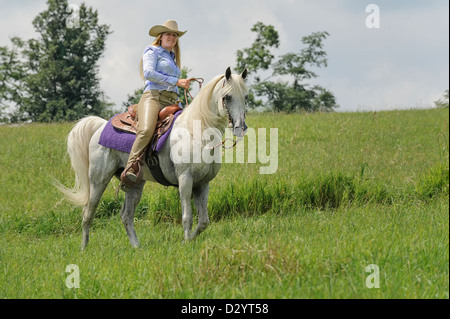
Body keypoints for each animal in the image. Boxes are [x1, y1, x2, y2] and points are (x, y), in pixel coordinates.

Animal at [56, 66, 250, 249]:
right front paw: (186, 242)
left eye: (245, 97)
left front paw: (189, 240)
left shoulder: (203, 183)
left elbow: (203, 221)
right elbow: (187, 216)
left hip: (134, 184)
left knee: (126, 215)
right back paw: (84, 248)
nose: (240, 128)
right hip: (98, 180)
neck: (197, 131)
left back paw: (136, 247)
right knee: (88, 213)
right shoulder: (185, 179)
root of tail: (101, 126)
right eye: (227, 97)